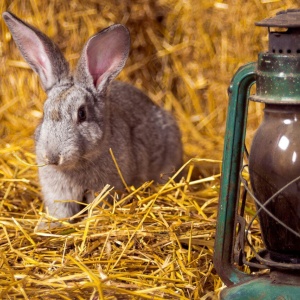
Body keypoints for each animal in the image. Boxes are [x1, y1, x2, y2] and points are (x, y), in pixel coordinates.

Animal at [2, 11, 183, 226]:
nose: (52, 158)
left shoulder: (104, 188)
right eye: (44, 112)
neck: (77, 164)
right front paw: (51, 224)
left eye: (82, 114)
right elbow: (62, 210)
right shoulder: (58, 192)